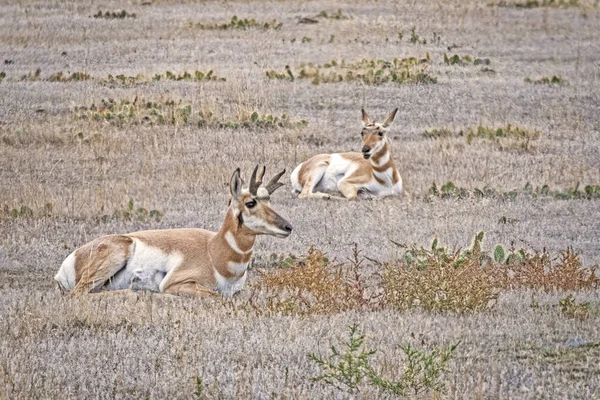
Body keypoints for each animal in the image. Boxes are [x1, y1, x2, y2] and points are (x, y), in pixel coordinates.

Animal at [54, 166, 292, 296]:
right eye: (251, 203)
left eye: (268, 200)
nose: (288, 227)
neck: (214, 251)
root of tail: (73, 257)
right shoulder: (175, 284)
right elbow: (215, 295)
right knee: (79, 294)